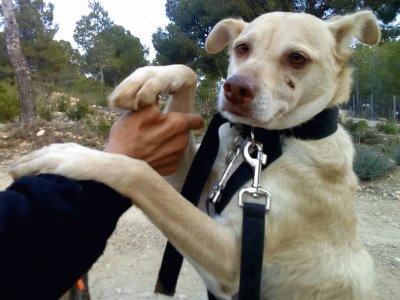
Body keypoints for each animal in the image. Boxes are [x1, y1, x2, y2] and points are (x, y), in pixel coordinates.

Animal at [10, 11, 382, 300]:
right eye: (242, 47)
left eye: (297, 58)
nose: (234, 88)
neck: (269, 141)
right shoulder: (195, 186)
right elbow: (189, 72)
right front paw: (149, 78)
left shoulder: (231, 259)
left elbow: (140, 173)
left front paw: (68, 154)